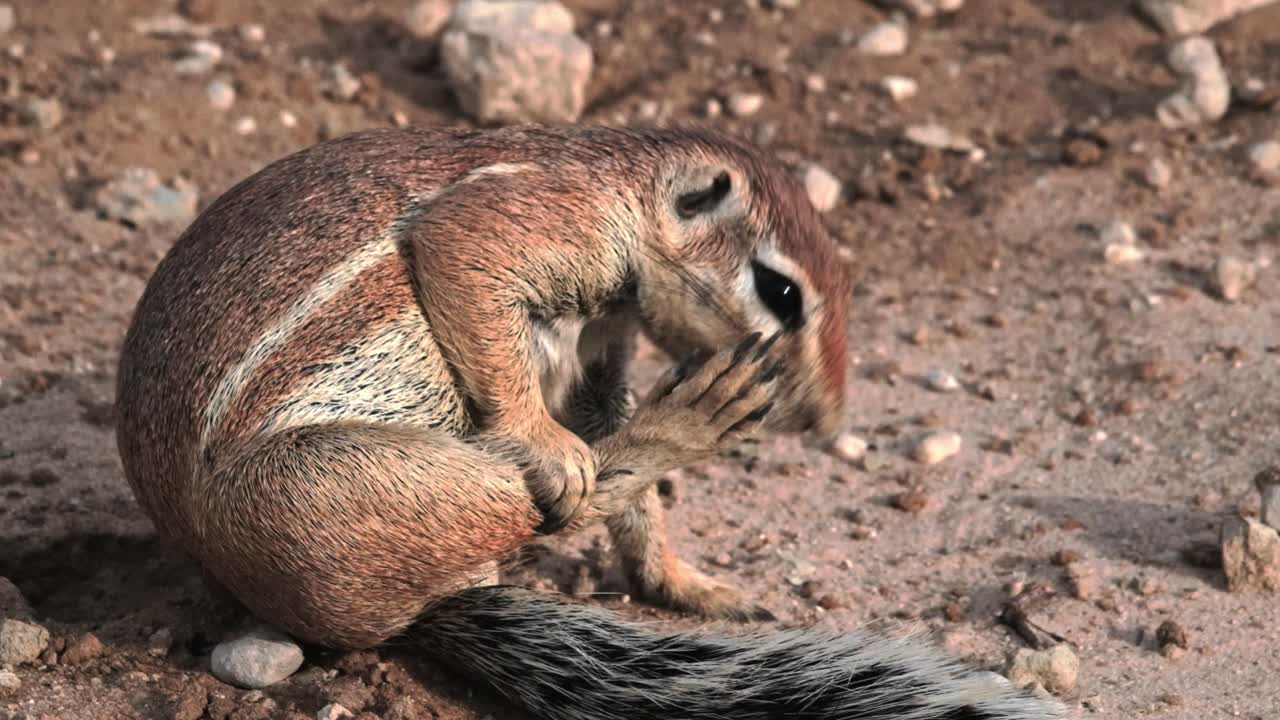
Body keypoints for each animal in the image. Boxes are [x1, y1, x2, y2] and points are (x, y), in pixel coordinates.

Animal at [114, 125, 1065, 720]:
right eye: (782, 290)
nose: (825, 423)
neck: (622, 187)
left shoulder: (602, 344)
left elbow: (605, 426)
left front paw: (682, 580)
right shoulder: (538, 225)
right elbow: (462, 249)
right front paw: (548, 439)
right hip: (329, 497)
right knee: (542, 496)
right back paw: (683, 422)